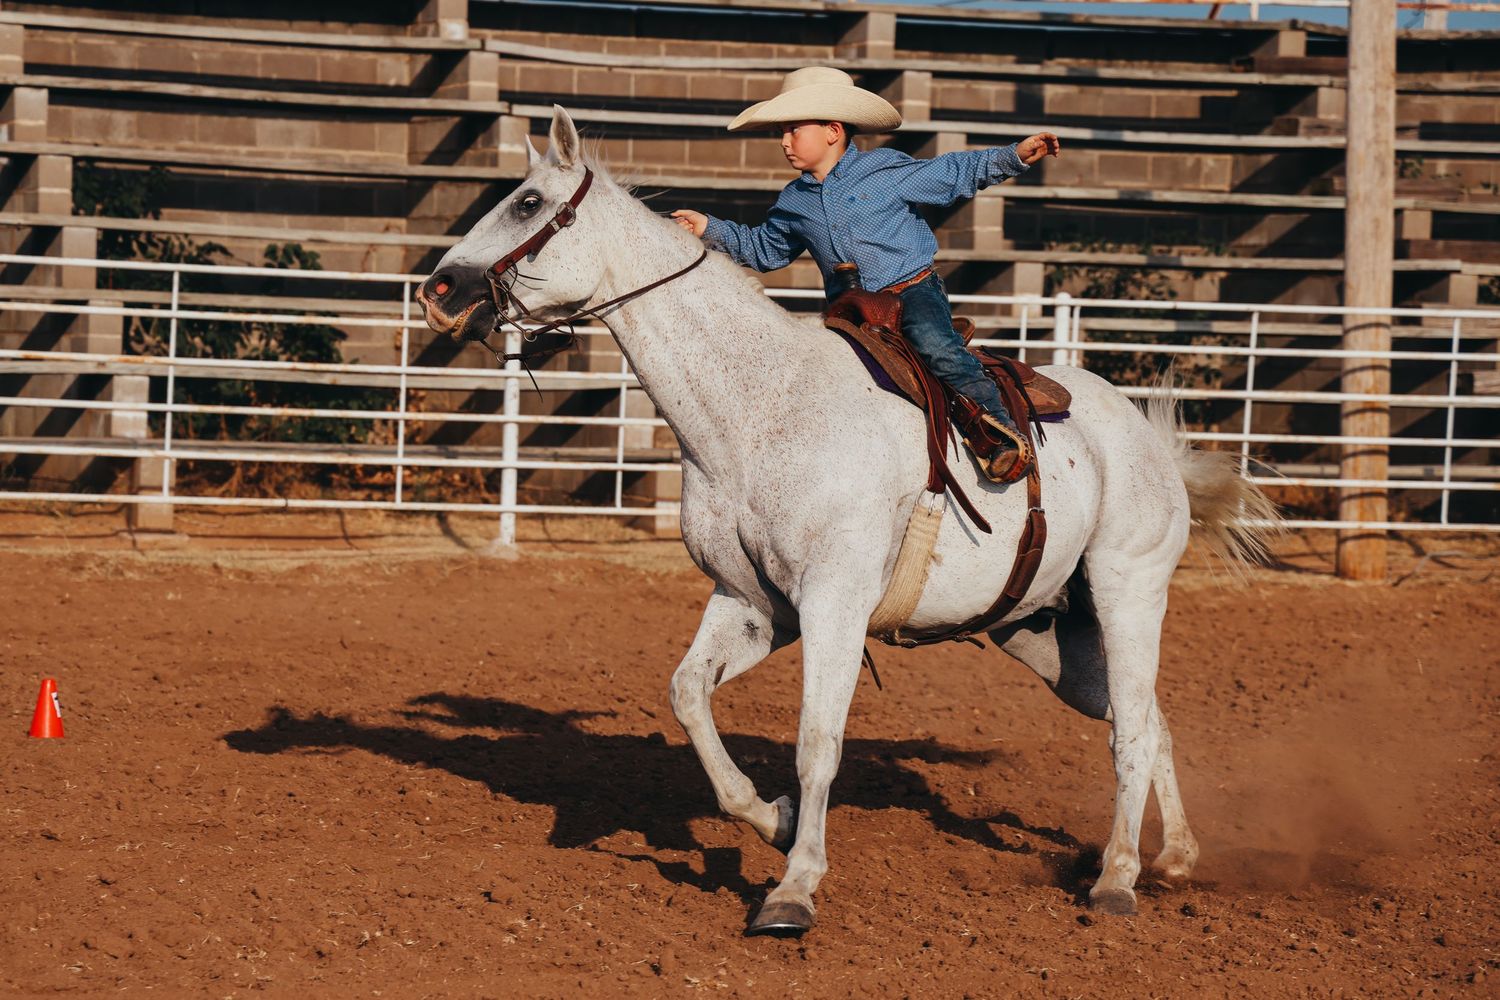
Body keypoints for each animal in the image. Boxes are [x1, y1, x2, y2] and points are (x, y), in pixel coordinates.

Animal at [415, 107, 1279, 934]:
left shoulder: (835, 603)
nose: (439, 291)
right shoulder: (753, 603)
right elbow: (689, 694)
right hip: (1045, 632)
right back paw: (1174, 859)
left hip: (1129, 592)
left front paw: (794, 888)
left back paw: (1117, 879)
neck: (760, 408)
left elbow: (817, 741)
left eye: (529, 202)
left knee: (1129, 731)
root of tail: (1149, 442)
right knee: (1148, 719)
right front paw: (771, 820)